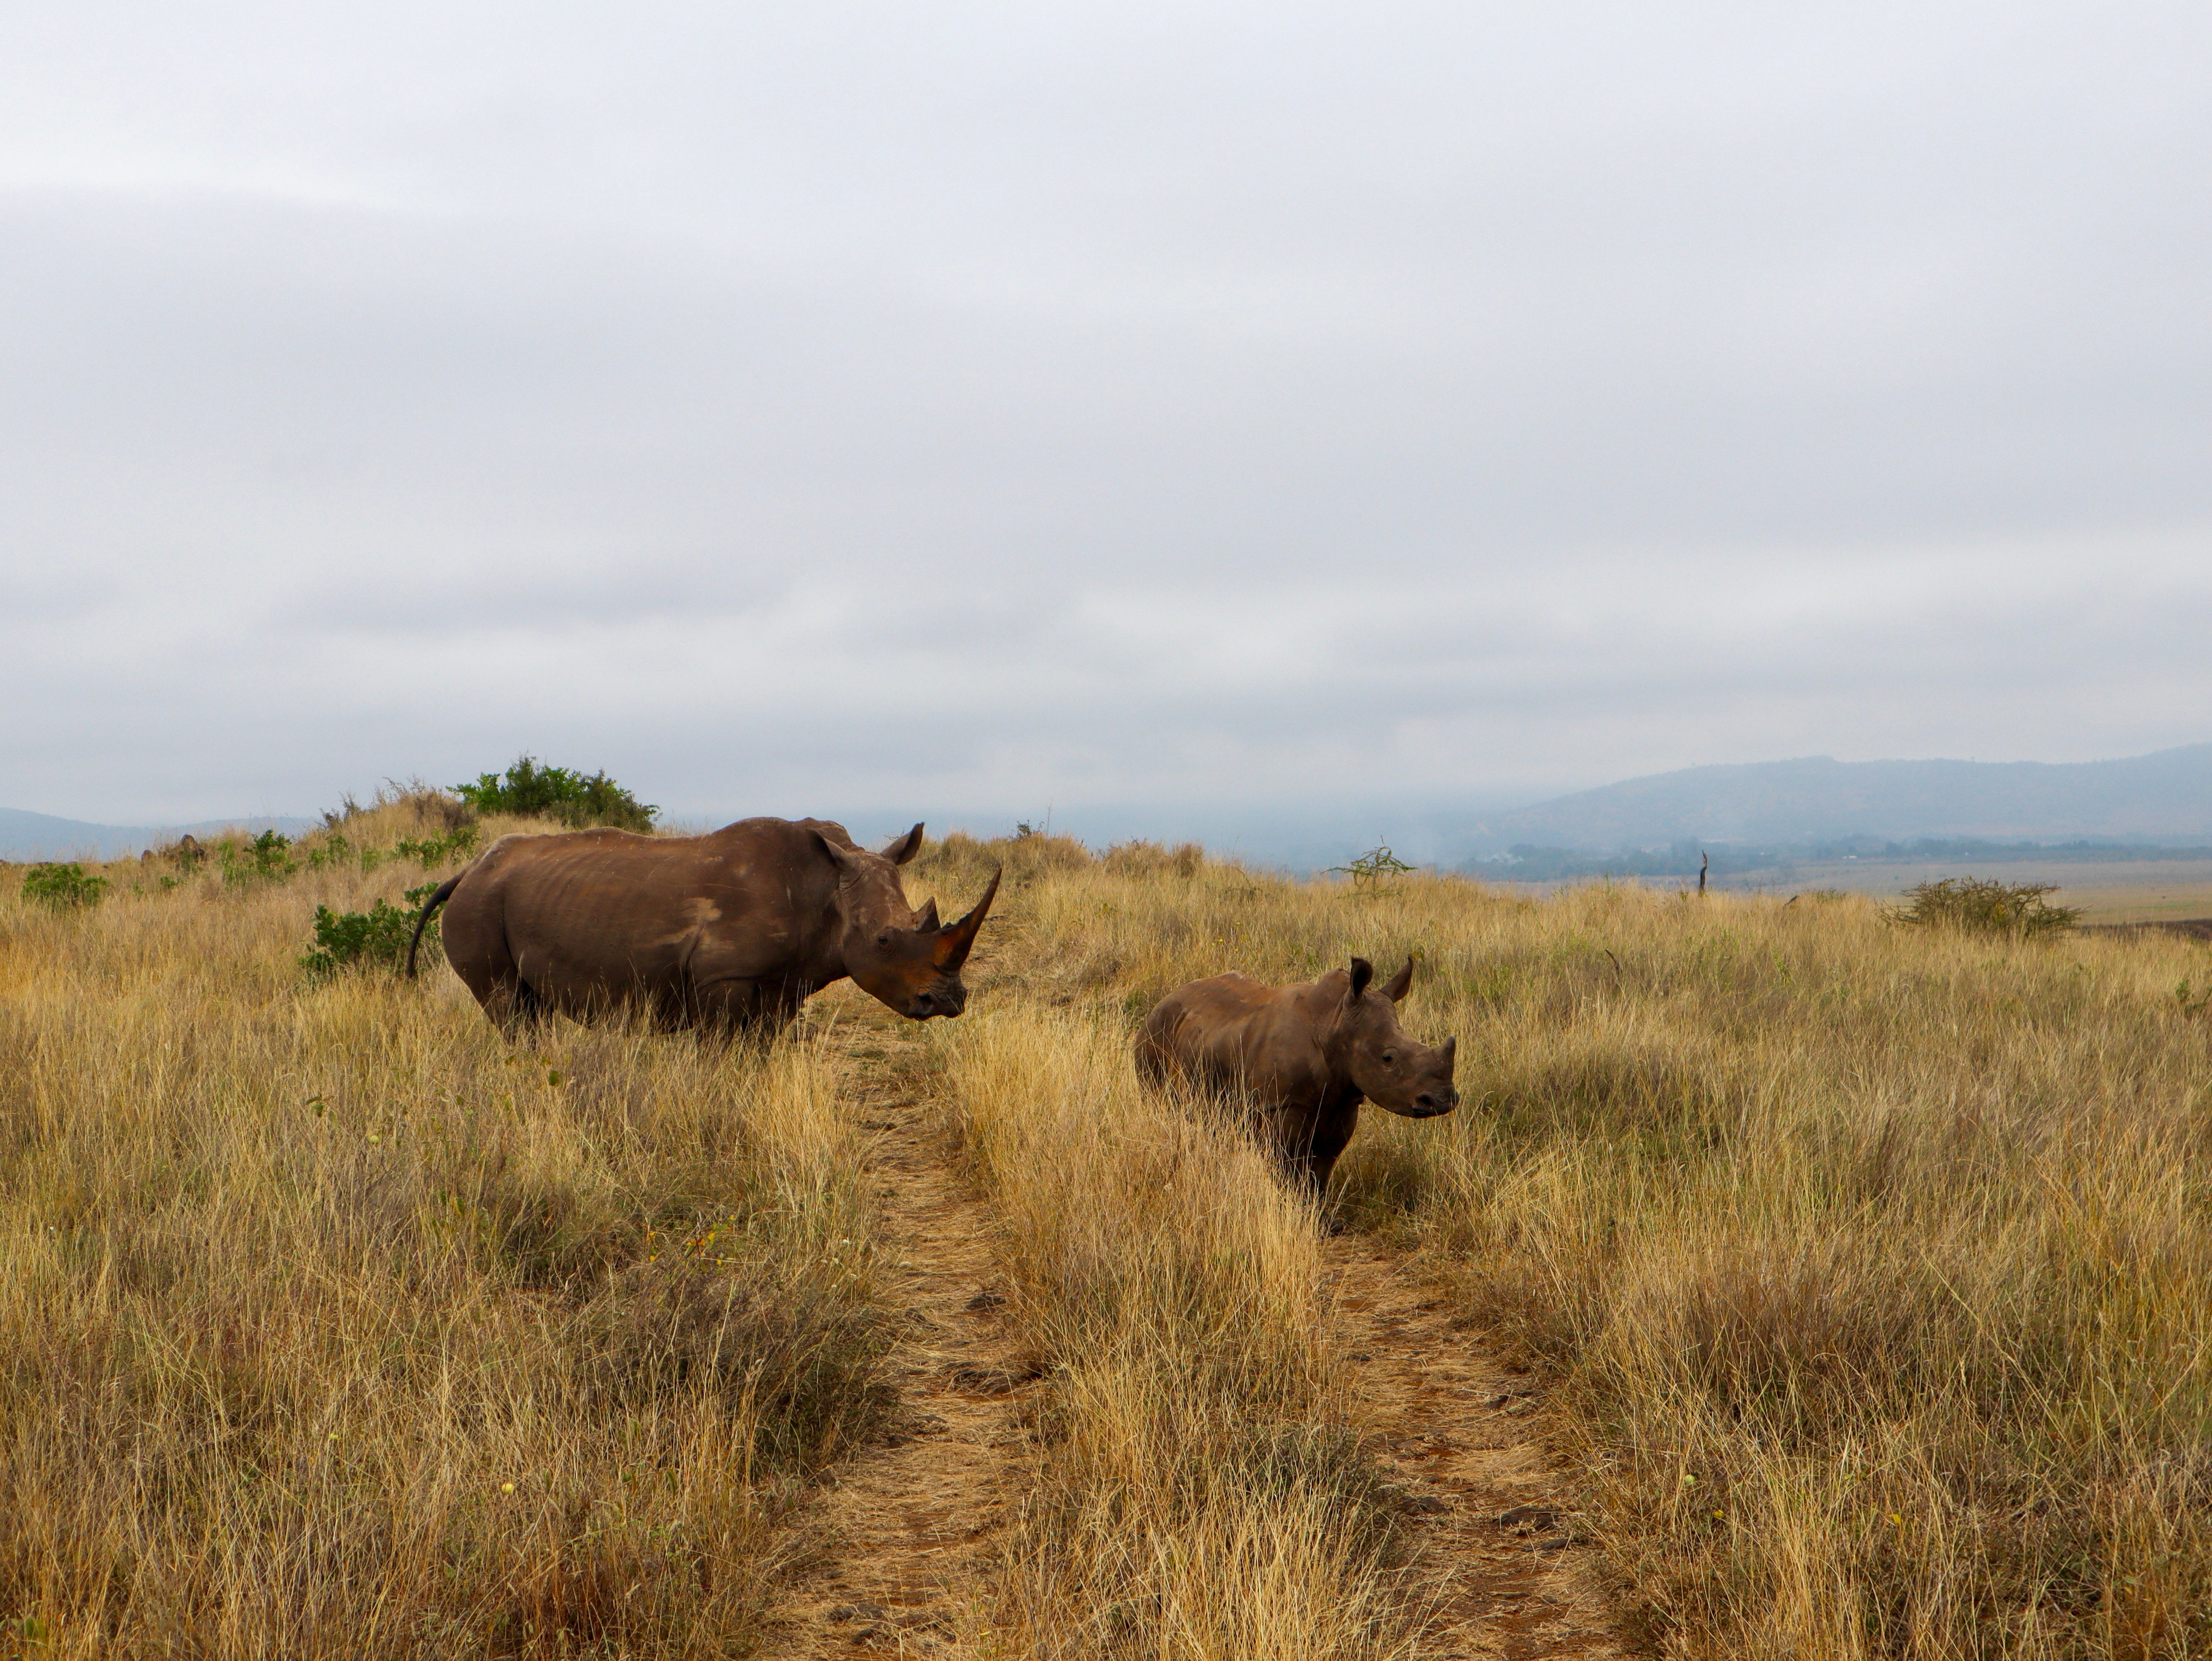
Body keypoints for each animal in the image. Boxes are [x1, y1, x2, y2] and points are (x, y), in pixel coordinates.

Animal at [406, 818, 998, 1034]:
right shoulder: (724, 977)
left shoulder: (782, 983)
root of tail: (465, 871)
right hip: (480, 906)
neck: (825, 889)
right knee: (508, 1007)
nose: (948, 1001)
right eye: (883, 940)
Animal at [1135, 956, 1458, 1197]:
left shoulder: (1344, 1103)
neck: (1334, 1023)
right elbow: (1289, 1167)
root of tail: (1165, 999)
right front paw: (1293, 1212)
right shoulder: (1279, 1105)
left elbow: (1323, 1168)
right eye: (1388, 1059)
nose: (1444, 1100)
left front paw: (1323, 1223)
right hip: (1154, 1033)